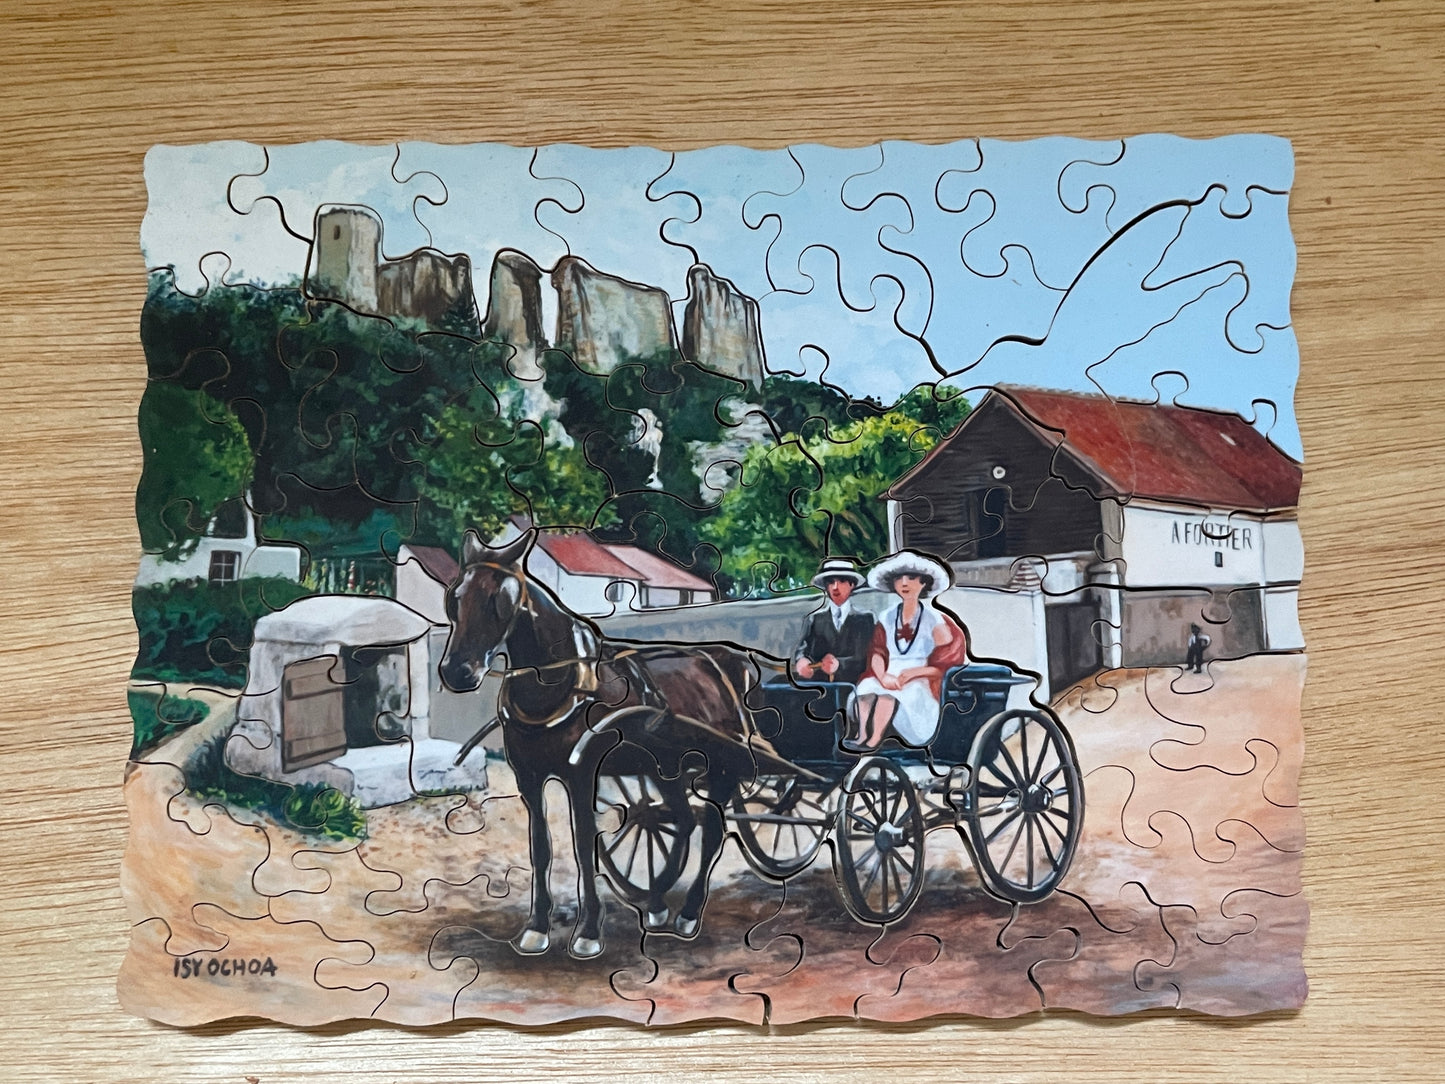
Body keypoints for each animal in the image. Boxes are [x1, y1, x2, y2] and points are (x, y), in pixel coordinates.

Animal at [438, 528, 764, 958]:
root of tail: (731, 660)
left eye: (501, 600)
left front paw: (589, 930)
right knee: (682, 820)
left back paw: (689, 911)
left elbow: (581, 845)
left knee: (710, 831)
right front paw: (536, 927)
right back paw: (656, 901)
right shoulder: (528, 777)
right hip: (666, 766)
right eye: (455, 596)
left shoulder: (581, 773)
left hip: (722, 764)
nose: (457, 671)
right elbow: (540, 848)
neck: (560, 685)